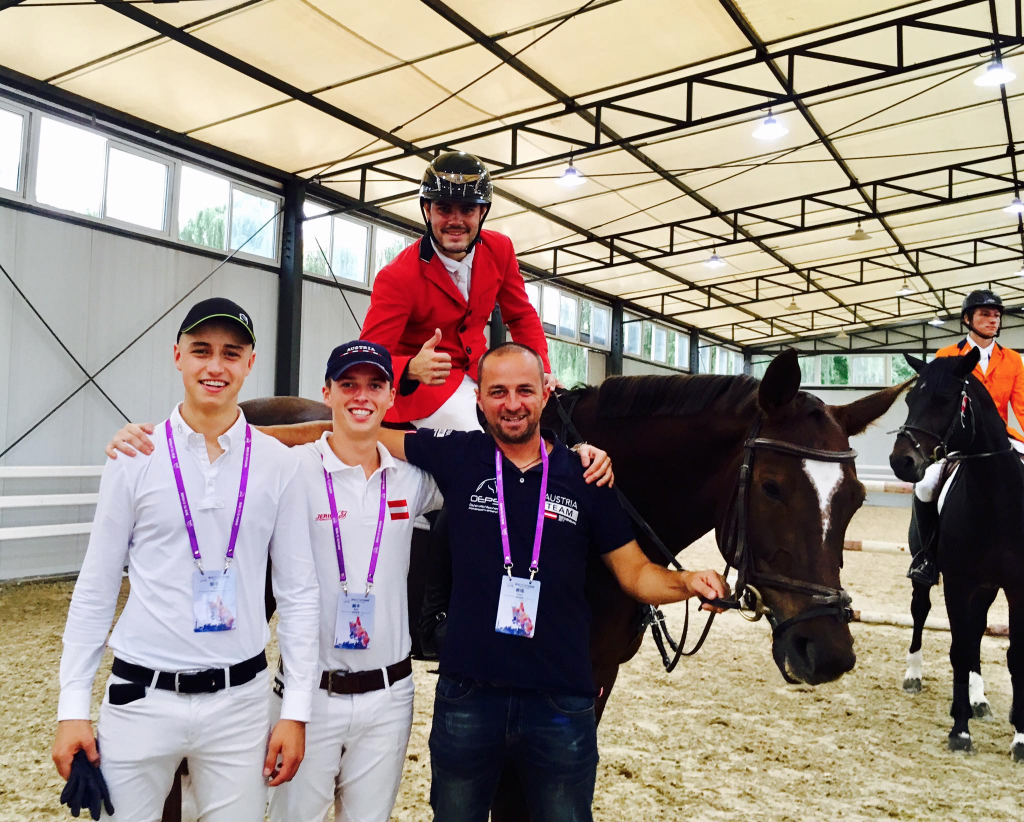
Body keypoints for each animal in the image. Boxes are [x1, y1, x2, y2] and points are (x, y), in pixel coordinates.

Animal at [888, 348, 1024, 757]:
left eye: (945, 399)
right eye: (909, 400)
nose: (901, 462)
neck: (997, 498)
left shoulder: (1016, 587)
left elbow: (1010, 653)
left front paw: (1020, 736)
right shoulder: (958, 583)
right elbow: (960, 649)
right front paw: (960, 730)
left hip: (988, 587)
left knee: (977, 629)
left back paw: (980, 700)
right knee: (921, 614)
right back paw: (914, 675)